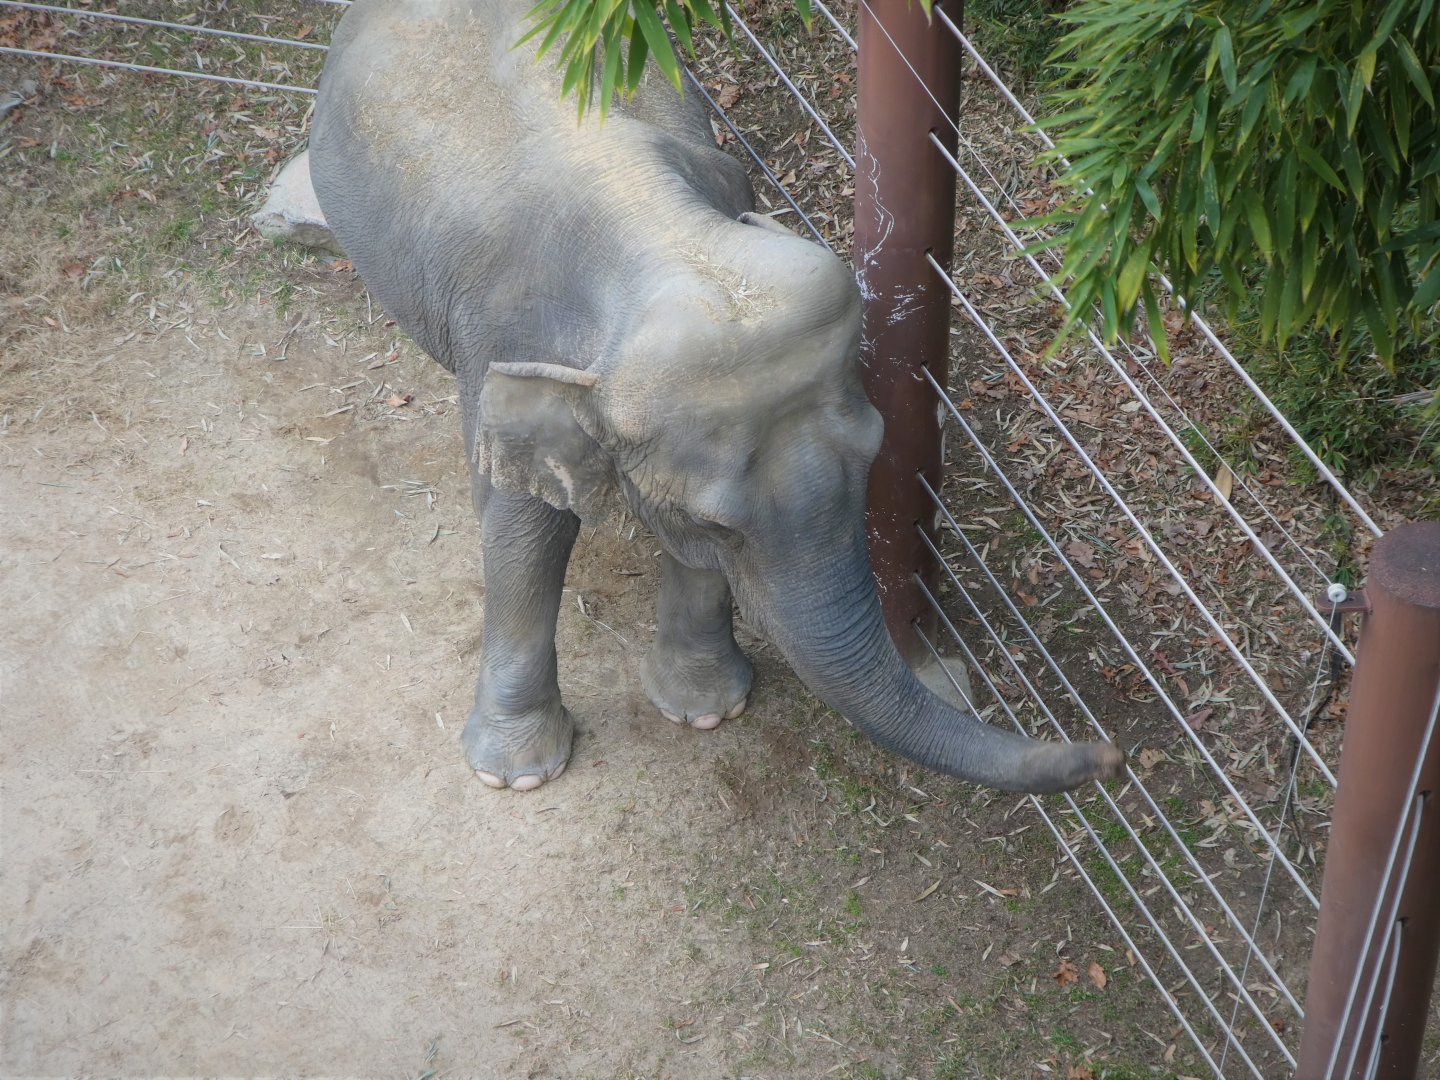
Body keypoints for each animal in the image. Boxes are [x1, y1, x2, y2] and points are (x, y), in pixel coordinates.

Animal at [308, 0, 1124, 794]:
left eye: (874, 456)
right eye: (719, 522)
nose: (1110, 755)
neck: (666, 240)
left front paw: (706, 711)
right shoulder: (500, 338)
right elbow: (524, 531)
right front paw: (516, 775)